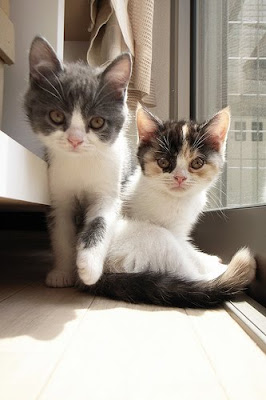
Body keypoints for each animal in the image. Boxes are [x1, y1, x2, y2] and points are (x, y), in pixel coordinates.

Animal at [24, 36, 132, 288]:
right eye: (56, 116)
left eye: (97, 122)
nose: (75, 139)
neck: (80, 162)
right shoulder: (57, 194)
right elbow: (61, 233)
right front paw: (62, 272)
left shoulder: (108, 191)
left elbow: (100, 221)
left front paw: (89, 267)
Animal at [84, 105, 256, 306]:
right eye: (163, 162)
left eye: (197, 163)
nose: (180, 177)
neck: (177, 200)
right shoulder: (173, 233)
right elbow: (188, 251)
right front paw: (209, 262)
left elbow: (190, 247)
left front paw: (208, 258)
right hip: (152, 238)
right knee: (188, 274)